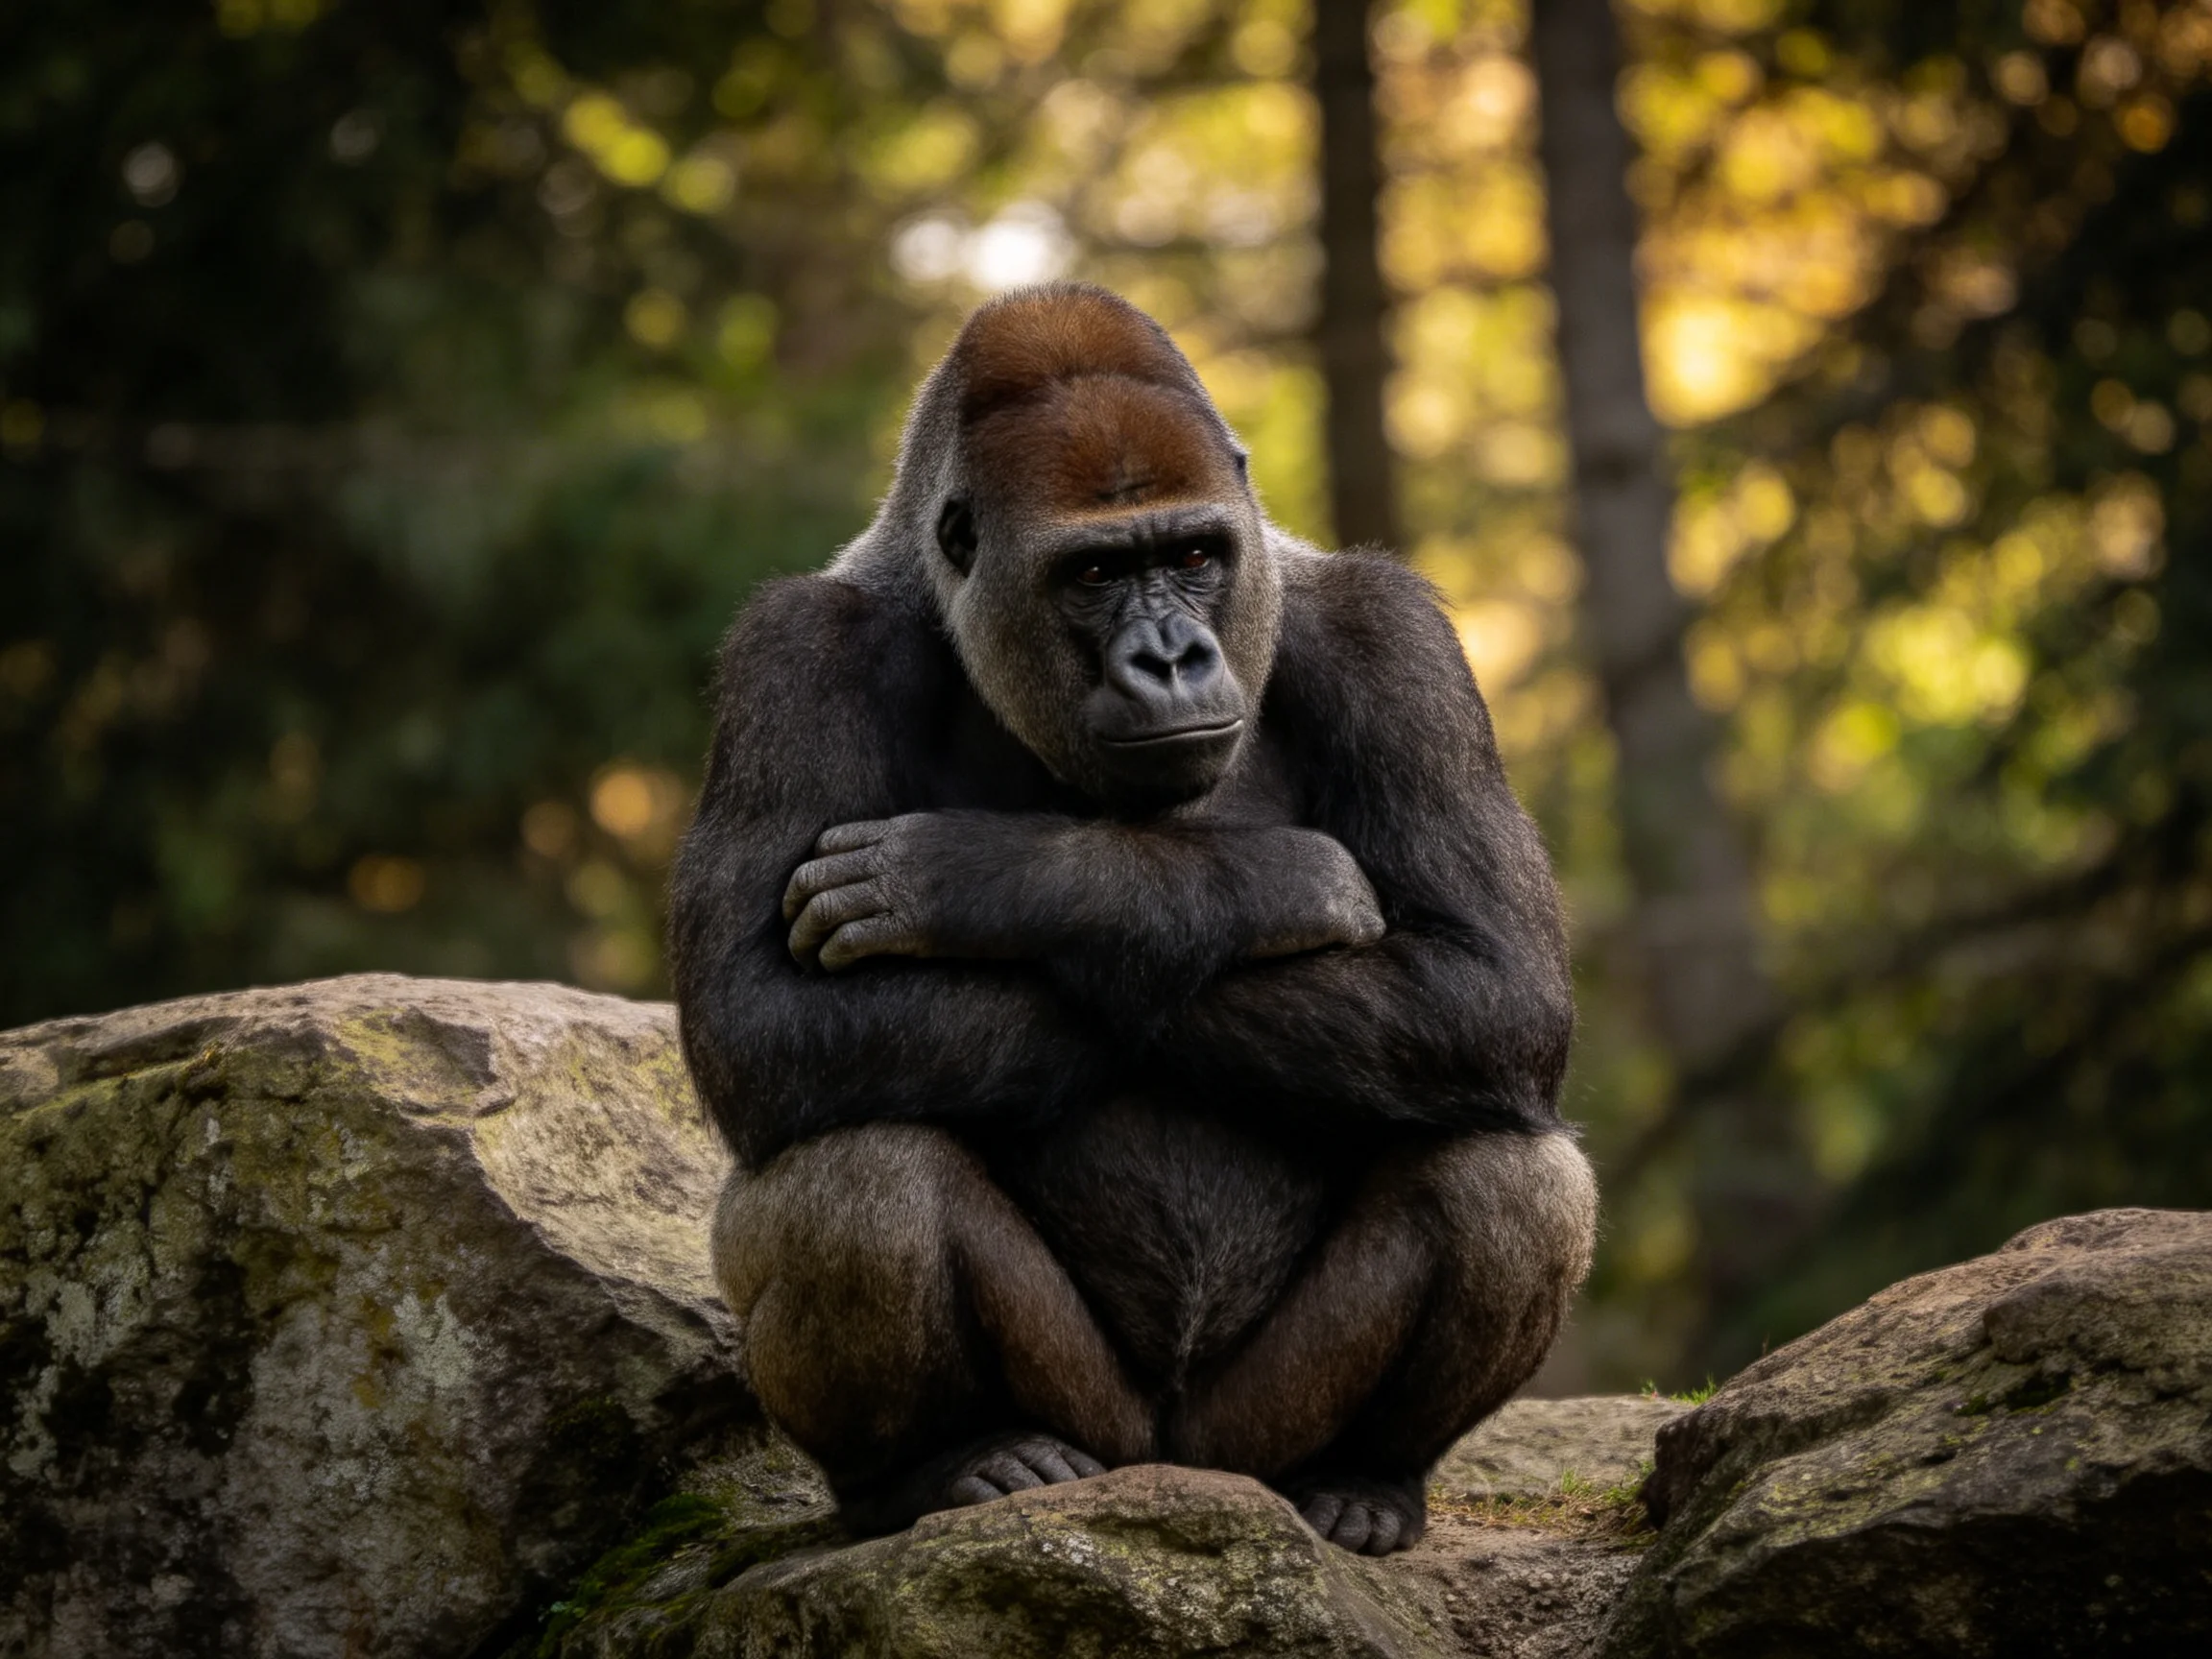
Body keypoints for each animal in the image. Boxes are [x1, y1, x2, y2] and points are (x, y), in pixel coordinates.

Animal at [668, 282, 1595, 1556]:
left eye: (1196, 555)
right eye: (1097, 572)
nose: (1171, 657)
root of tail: (1177, 1461)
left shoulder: (1394, 635)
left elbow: (1493, 992)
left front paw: (989, 873)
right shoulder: (792, 654)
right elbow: (762, 1029)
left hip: (1253, 1432)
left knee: (1506, 1176)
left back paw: (1366, 1474)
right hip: (1092, 1420)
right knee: (853, 1174)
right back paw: (941, 1466)